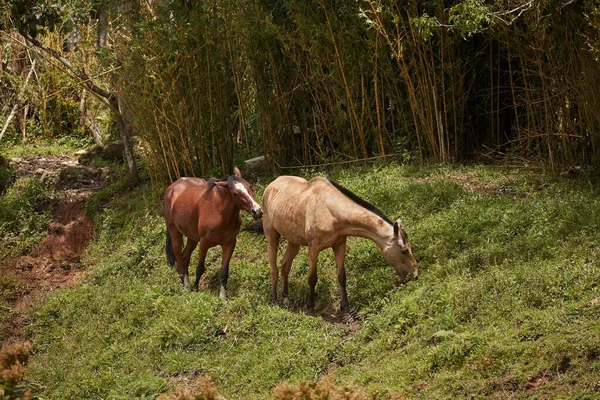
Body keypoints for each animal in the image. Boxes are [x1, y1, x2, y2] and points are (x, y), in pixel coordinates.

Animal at [163, 167, 262, 298]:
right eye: (235, 193)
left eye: (249, 186)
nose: (257, 210)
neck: (220, 211)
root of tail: (171, 188)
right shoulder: (204, 243)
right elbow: (200, 268)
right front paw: (195, 289)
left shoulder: (229, 243)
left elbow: (224, 272)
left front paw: (222, 297)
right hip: (175, 234)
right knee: (179, 262)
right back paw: (185, 287)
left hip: (192, 238)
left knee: (185, 259)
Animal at [262, 177, 418, 314]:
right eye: (404, 250)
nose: (415, 276)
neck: (330, 211)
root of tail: (270, 185)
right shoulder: (313, 248)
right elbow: (312, 278)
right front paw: (310, 307)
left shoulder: (339, 244)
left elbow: (342, 277)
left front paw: (345, 308)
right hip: (271, 233)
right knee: (273, 268)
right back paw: (275, 300)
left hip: (293, 241)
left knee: (285, 265)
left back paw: (285, 299)